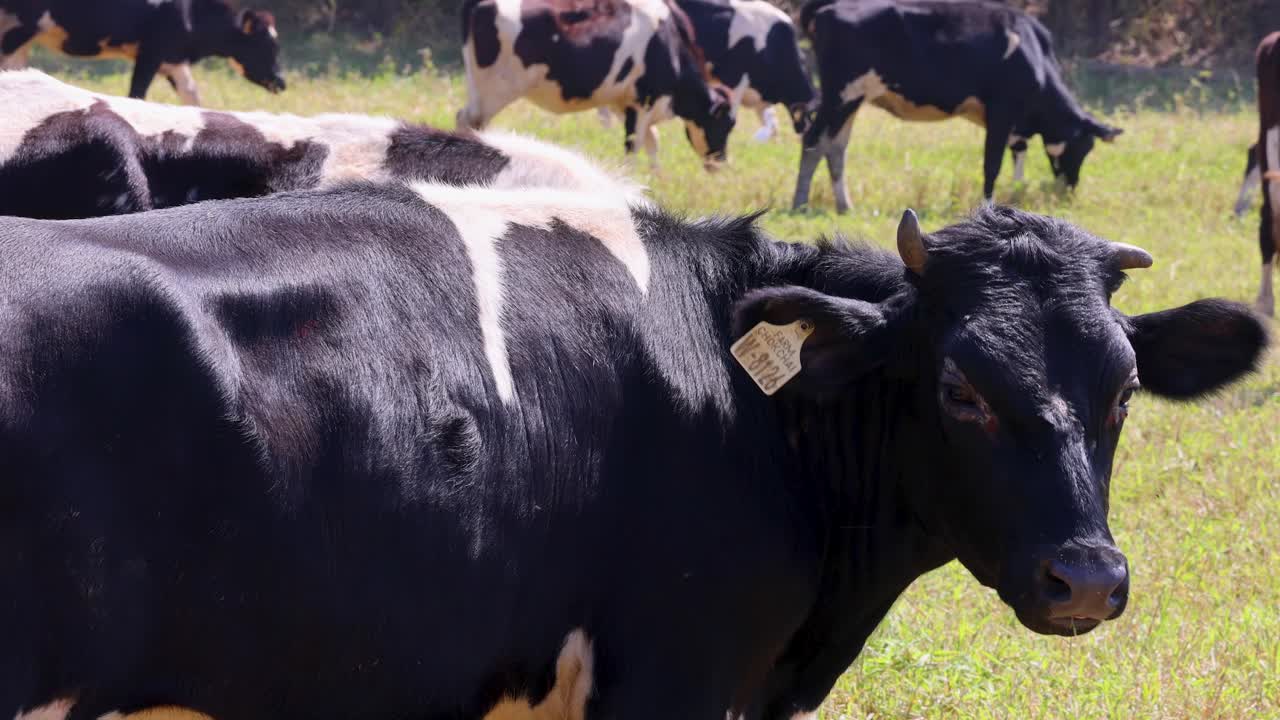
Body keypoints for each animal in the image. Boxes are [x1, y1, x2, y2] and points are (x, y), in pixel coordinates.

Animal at [0, 0, 285, 105]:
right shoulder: (151, 52)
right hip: (19, 28)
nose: (282, 82)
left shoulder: (174, 59)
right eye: (267, 46)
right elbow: (137, 94)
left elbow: (192, 95)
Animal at [457, 0, 737, 170]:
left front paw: (657, 177)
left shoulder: (623, 102)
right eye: (724, 124)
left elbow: (653, 141)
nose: (721, 162)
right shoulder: (642, 103)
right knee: (473, 121)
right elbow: (634, 144)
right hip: (496, 89)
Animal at [793, 0, 1122, 212]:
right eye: (1082, 148)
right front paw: (988, 207)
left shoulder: (1017, 125)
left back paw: (844, 205)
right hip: (841, 94)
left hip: (853, 98)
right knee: (814, 140)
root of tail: (827, 8)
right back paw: (801, 203)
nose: (1070, 189)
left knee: (835, 147)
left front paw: (1015, 195)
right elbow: (992, 164)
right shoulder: (1001, 112)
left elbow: (1018, 157)